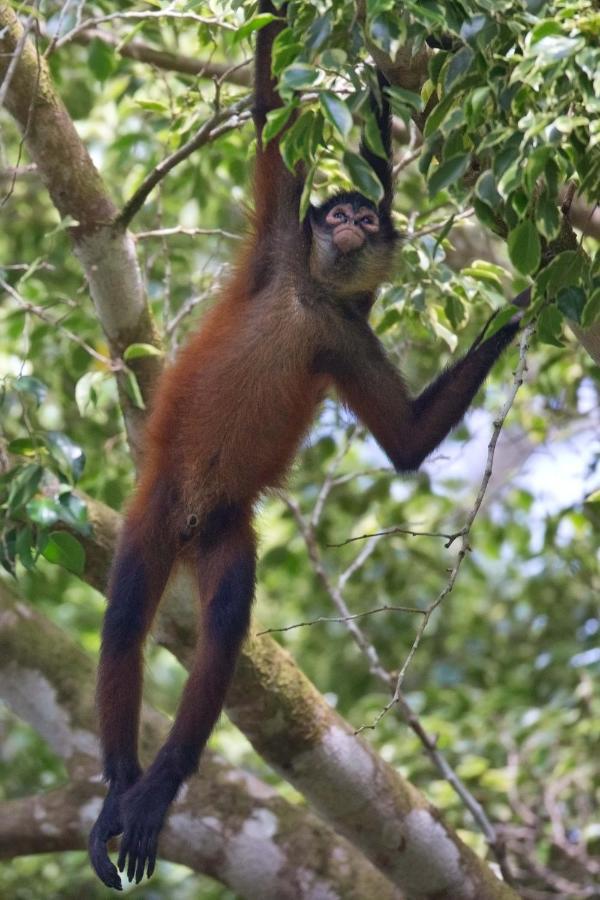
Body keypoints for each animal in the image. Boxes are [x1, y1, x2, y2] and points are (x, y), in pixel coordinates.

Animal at [89, 0, 524, 888]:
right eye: (341, 216)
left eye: (366, 220)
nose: (354, 225)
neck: (313, 294)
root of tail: (190, 522)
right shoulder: (284, 246)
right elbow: (270, 106)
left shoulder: (343, 335)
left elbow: (407, 443)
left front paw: (520, 310)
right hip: (153, 508)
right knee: (123, 622)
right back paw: (121, 785)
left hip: (226, 529)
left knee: (222, 623)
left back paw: (158, 784)